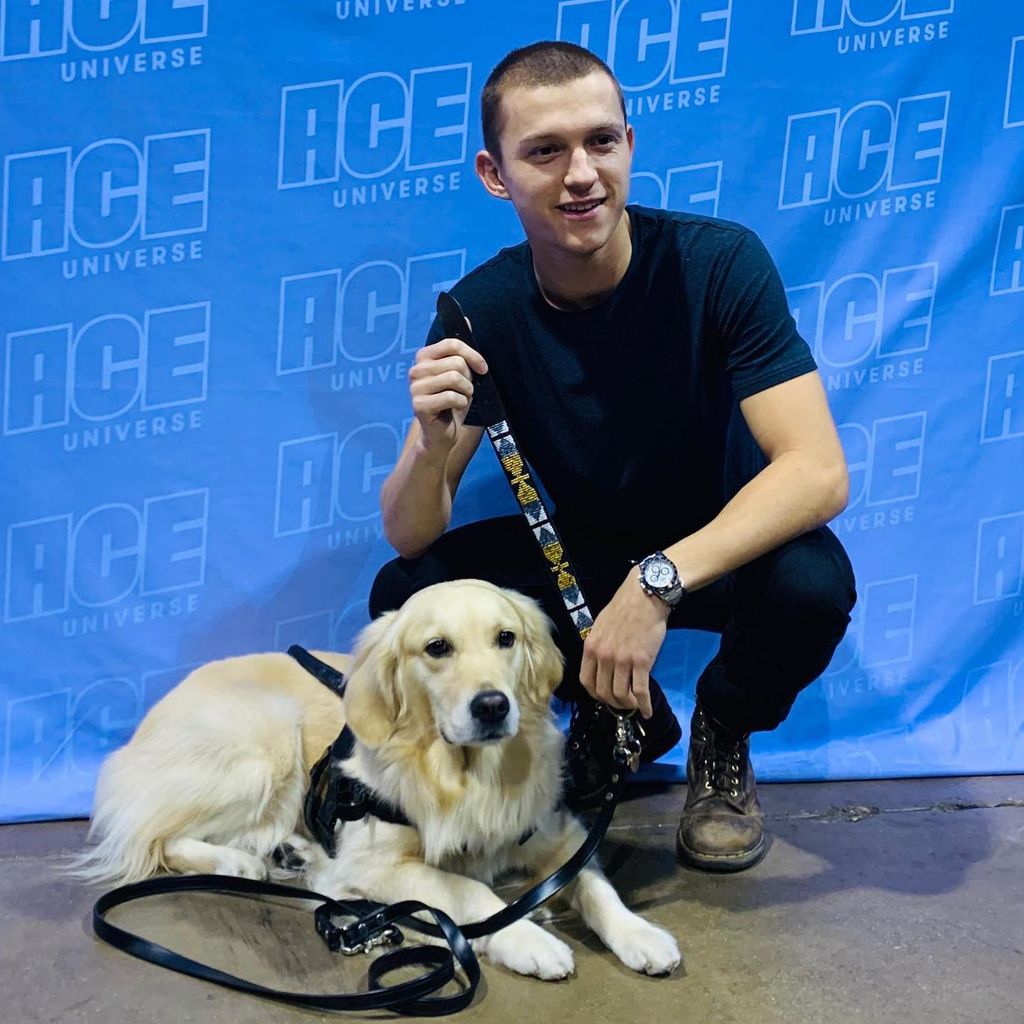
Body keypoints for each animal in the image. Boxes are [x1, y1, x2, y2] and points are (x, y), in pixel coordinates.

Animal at [74, 581, 679, 978]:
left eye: (506, 638)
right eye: (437, 648)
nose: (492, 706)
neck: (467, 776)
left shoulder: (559, 834)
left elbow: (596, 885)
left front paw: (639, 934)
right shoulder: (379, 865)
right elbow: (468, 890)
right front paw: (526, 937)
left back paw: (290, 851)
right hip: (267, 737)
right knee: (157, 836)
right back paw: (239, 862)